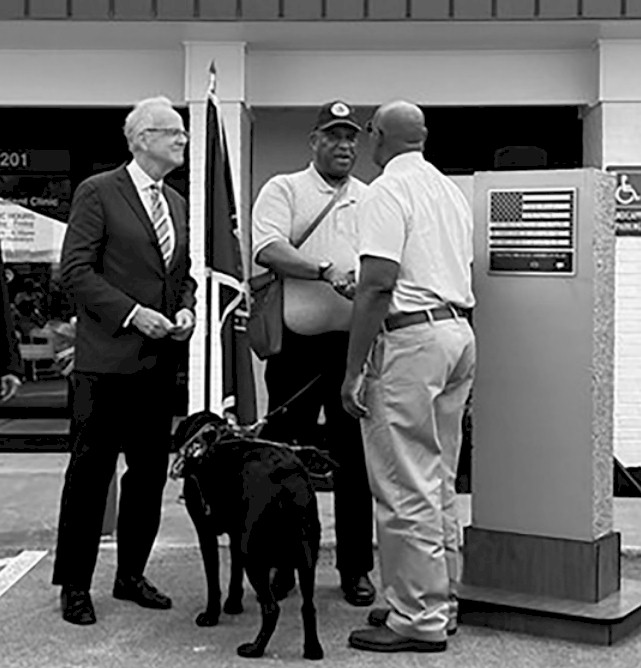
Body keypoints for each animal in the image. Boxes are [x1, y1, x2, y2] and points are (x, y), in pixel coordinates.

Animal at [171, 410, 324, 660]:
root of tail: (287, 474)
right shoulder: (236, 534)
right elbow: (235, 573)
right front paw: (233, 604)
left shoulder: (206, 533)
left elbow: (213, 580)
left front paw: (211, 615)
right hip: (306, 552)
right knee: (308, 605)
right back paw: (312, 648)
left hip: (254, 553)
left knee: (272, 608)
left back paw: (255, 648)